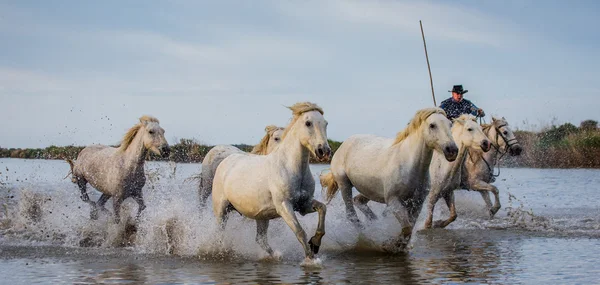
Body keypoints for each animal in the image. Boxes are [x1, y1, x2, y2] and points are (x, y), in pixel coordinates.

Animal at [212, 102, 332, 260]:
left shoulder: (303, 204)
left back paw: (275, 255)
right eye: (308, 123)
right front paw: (310, 259)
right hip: (221, 211)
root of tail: (226, 161)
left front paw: (315, 243)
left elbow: (322, 208)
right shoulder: (284, 206)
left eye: (326, 123)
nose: (324, 151)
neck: (290, 167)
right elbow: (300, 232)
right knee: (219, 234)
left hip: (261, 216)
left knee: (260, 239)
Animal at [322, 107, 458, 247]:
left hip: (369, 190)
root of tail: (343, 145)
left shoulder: (417, 203)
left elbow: (410, 228)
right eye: (432, 125)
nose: (452, 150)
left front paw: (399, 246)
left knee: (359, 202)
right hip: (344, 184)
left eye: (450, 124)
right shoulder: (393, 201)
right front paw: (390, 245)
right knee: (351, 215)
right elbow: (407, 228)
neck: (409, 164)